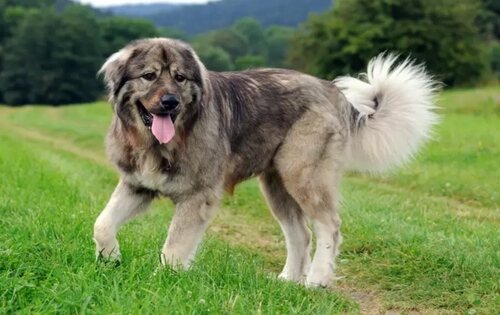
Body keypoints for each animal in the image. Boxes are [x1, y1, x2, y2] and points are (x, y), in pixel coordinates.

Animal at [94, 38, 438, 288]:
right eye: (149, 76)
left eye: (179, 77)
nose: (170, 102)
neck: (159, 143)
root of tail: (332, 91)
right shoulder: (136, 186)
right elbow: (103, 223)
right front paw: (110, 258)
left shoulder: (196, 197)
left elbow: (174, 246)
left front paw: (163, 280)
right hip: (276, 185)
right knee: (300, 234)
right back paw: (288, 280)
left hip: (303, 176)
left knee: (329, 225)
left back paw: (316, 280)